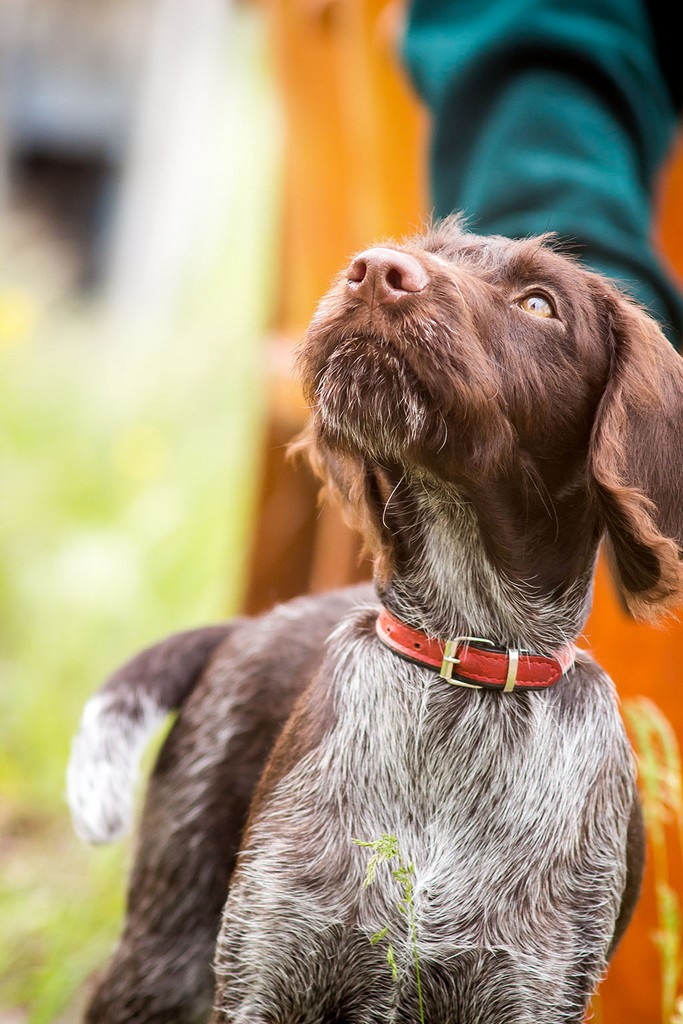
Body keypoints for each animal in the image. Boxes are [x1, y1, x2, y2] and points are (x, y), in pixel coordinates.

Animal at [68, 218, 683, 1024]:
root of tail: (246, 626)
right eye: (418, 249)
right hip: (162, 961)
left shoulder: (530, 988)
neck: (462, 656)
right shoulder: (267, 968)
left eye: (539, 303)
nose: (374, 271)